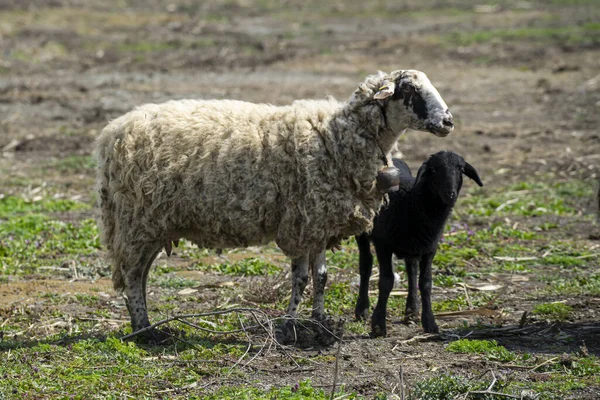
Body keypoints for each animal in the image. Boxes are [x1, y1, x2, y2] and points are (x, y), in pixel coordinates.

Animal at [94, 69, 452, 340]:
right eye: (409, 90)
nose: (448, 121)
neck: (338, 136)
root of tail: (111, 134)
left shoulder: (313, 223)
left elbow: (315, 277)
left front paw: (314, 323)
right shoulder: (308, 219)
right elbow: (309, 277)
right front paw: (296, 324)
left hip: (154, 223)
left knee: (140, 275)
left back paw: (145, 325)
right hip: (138, 220)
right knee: (133, 274)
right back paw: (144, 330)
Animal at [354, 152, 486, 336]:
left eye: (460, 169)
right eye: (433, 170)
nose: (450, 194)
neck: (412, 202)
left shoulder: (430, 248)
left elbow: (426, 283)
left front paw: (430, 322)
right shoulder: (383, 245)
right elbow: (386, 281)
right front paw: (379, 325)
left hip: (414, 245)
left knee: (411, 270)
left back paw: (412, 310)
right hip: (362, 229)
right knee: (366, 263)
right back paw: (362, 309)